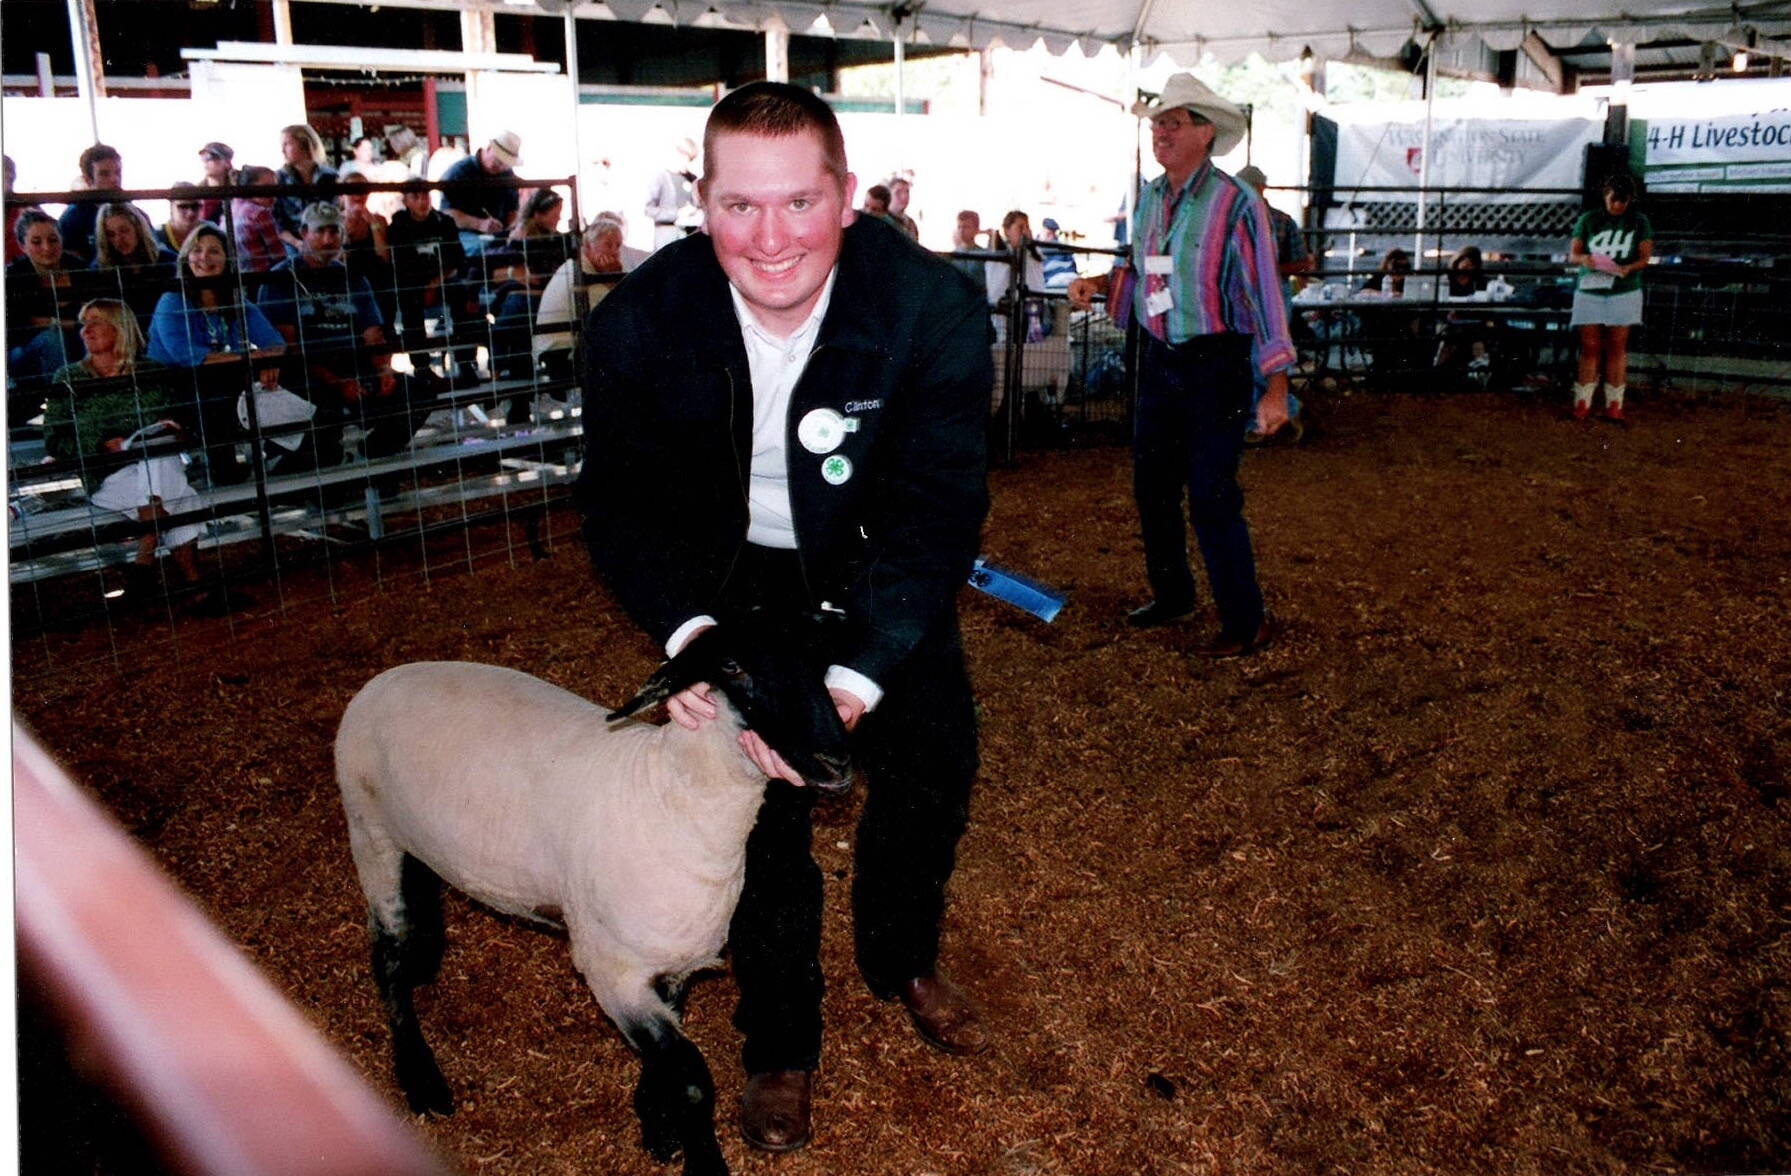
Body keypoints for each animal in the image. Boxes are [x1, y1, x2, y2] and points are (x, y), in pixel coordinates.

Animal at [334, 619, 852, 1167]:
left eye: (821, 657)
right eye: (732, 666)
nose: (835, 760)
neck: (670, 796)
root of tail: (385, 678)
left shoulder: (668, 966)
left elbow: (666, 1059)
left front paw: (657, 1126)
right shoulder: (613, 971)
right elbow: (691, 1079)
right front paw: (700, 1158)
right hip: (372, 834)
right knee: (388, 958)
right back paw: (422, 1081)